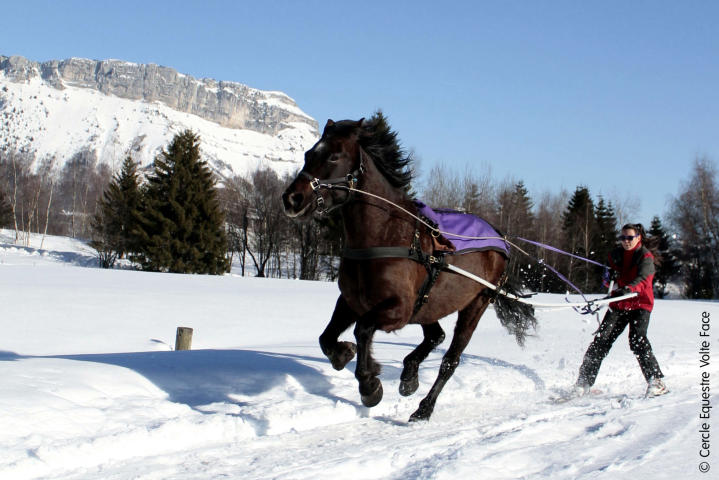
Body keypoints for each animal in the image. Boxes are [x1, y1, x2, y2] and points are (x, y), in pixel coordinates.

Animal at [282, 112, 536, 420]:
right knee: (436, 335)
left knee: (450, 359)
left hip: (476, 304)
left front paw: (369, 385)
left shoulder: (398, 309)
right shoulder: (352, 301)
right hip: (430, 303)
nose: (292, 198)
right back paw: (409, 375)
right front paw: (343, 354)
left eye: (334, 156)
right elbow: (326, 337)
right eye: (308, 153)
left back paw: (424, 408)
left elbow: (363, 330)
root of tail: (500, 237)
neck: (385, 236)